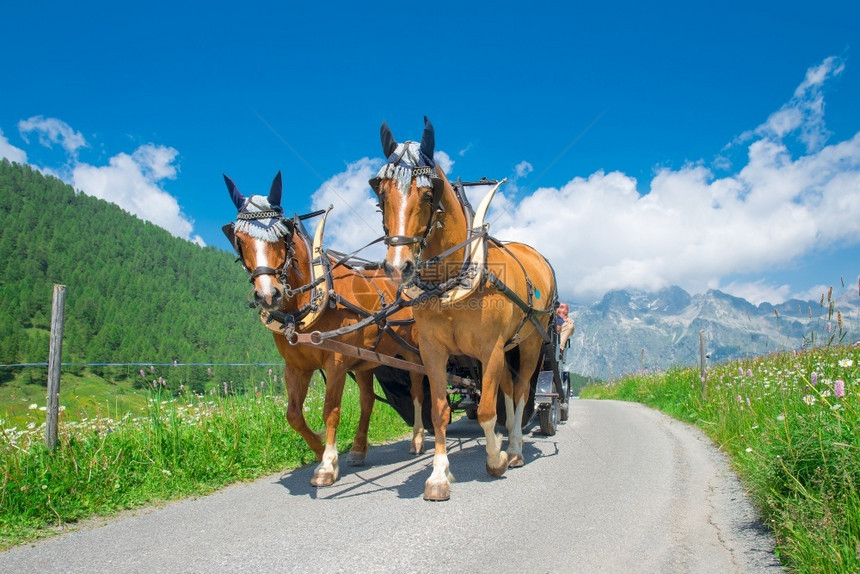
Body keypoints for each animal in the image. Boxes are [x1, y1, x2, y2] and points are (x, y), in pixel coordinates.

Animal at [222, 173, 424, 488]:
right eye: (240, 240)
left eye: (282, 236)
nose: (268, 295)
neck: (310, 300)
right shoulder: (296, 367)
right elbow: (293, 415)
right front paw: (318, 450)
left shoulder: (336, 362)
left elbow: (330, 410)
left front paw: (327, 464)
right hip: (365, 360)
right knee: (367, 400)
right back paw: (358, 449)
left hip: (412, 352)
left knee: (417, 390)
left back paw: (417, 438)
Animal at [370, 117, 556, 500]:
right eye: (380, 195)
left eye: (429, 194)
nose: (398, 266)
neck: (453, 284)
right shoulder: (433, 352)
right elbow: (441, 411)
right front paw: (439, 475)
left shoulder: (490, 348)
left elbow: (485, 410)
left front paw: (496, 459)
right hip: (506, 350)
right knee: (508, 390)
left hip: (530, 343)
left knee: (522, 390)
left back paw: (515, 448)